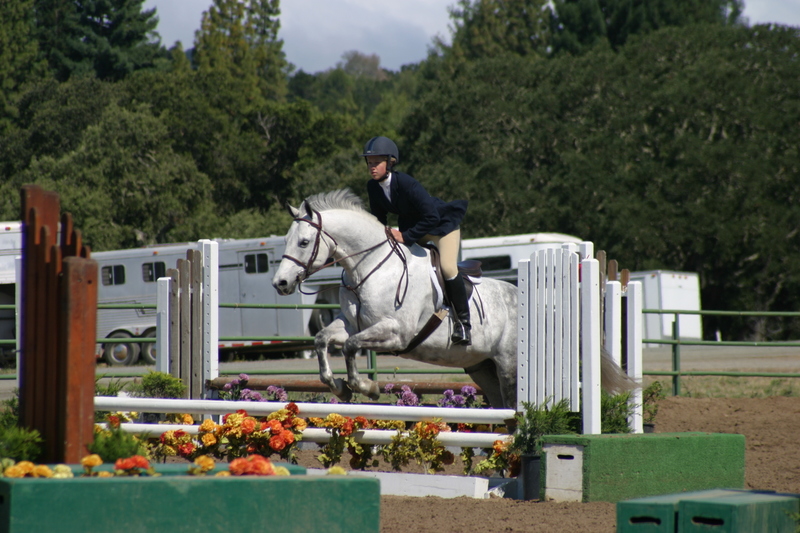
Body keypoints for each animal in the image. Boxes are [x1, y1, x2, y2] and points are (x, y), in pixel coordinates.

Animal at [272, 189, 633, 409]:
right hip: (481, 369)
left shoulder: (395, 333)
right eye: (288, 240)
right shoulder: (352, 324)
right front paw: (337, 386)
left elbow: (349, 347)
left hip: (509, 367)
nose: (281, 283)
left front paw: (365, 386)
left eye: (304, 242)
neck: (372, 267)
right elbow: (323, 339)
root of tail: (543, 306)